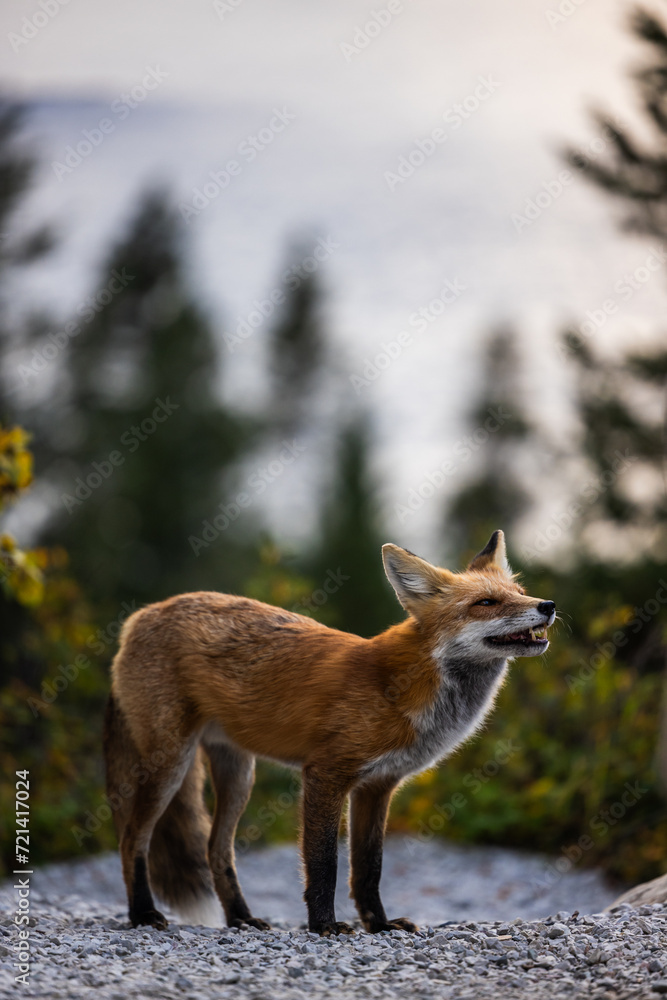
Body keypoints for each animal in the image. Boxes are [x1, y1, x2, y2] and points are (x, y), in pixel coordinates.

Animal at [103, 529, 556, 936]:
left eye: (519, 591)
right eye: (485, 603)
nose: (548, 605)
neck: (406, 686)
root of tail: (141, 615)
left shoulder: (378, 786)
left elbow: (369, 868)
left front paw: (379, 924)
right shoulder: (326, 774)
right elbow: (325, 863)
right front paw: (324, 925)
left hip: (239, 775)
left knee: (217, 850)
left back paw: (241, 918)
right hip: (170, 765)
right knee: (131, 839)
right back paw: (143, 913)